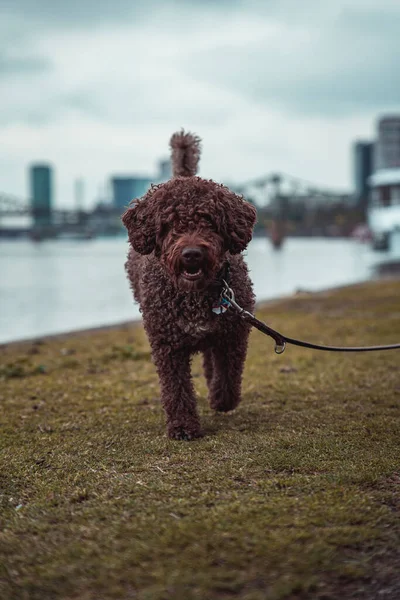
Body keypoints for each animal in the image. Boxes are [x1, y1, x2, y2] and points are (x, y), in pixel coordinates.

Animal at [122, 132, 258, 440]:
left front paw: (221, 399)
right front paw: (183, 426)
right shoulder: (166, 344)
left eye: (208, 220)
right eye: (170, 224)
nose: (192, 254)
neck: (194, 294)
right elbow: (176, 388)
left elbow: (229, 375)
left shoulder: (233, 334)